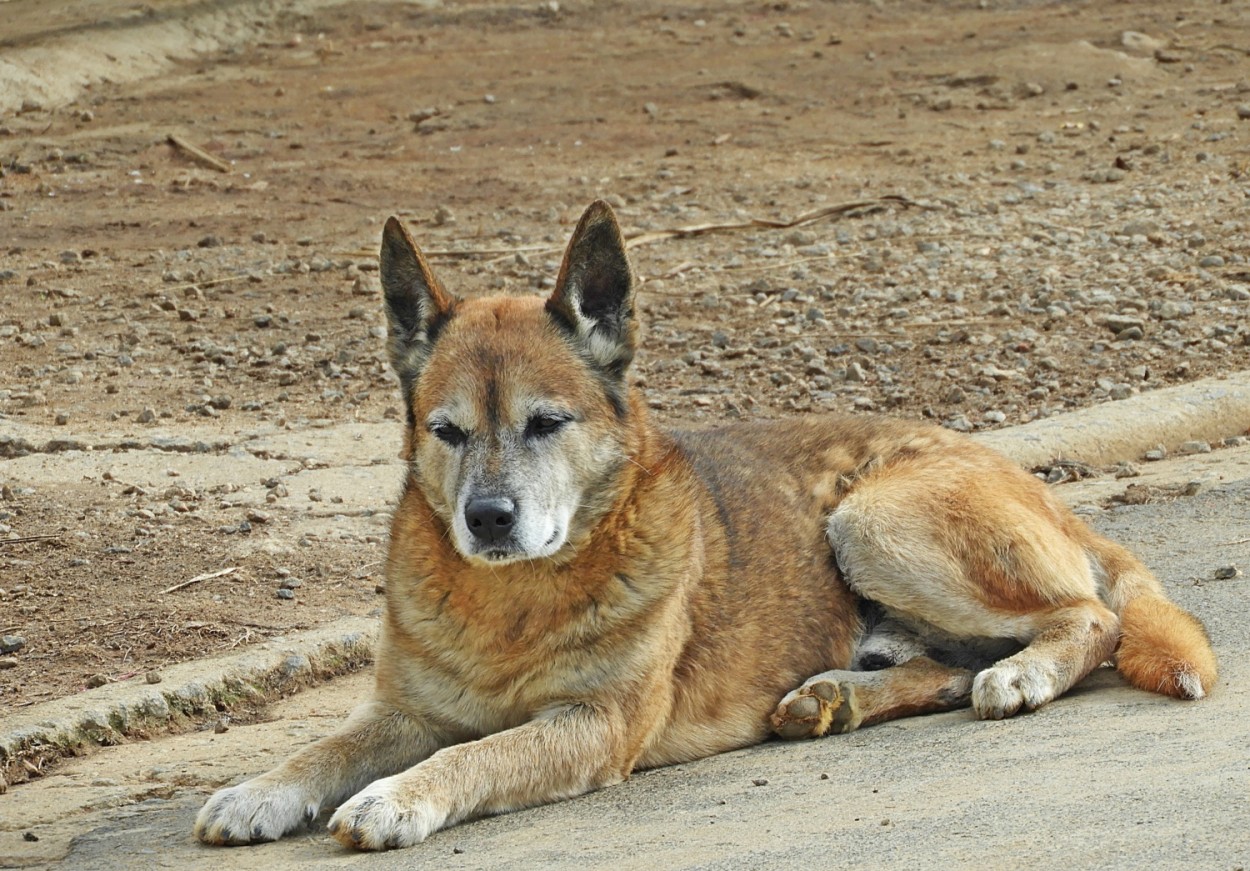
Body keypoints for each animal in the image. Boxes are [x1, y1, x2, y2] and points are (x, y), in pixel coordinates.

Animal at [195, 198, 1220, 849]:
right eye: (446, 431)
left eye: (545, 423)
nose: (487, 519)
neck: (511, 603)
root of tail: (1020, 473)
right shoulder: (402, 710)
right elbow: (322, 746)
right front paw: (258, 791)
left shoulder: (594, 725)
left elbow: (479, 751)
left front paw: (400, 796)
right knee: (941, 665)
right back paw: (840, 695)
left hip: (874, 519)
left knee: (1087, 617)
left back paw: (1022, 672)